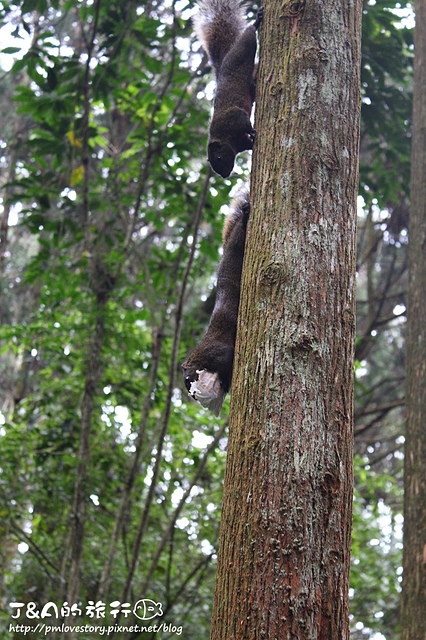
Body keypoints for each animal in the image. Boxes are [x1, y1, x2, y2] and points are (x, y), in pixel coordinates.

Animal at [182, 190, 250, 412]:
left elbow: (229, 359)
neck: (200, 357)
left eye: (188, 379)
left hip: (238, 243)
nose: (192, 394)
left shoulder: (217, 352)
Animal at [194, 0, 262, 178]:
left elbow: (243, 118)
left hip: (241, 52)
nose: (224, 175)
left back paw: (256, 22)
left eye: (218, 157)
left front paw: (252, 130)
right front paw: (252, 139)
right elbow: (248, 143)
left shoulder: (232, 119)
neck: (225, 138)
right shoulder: (241, 142)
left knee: (249, 37)